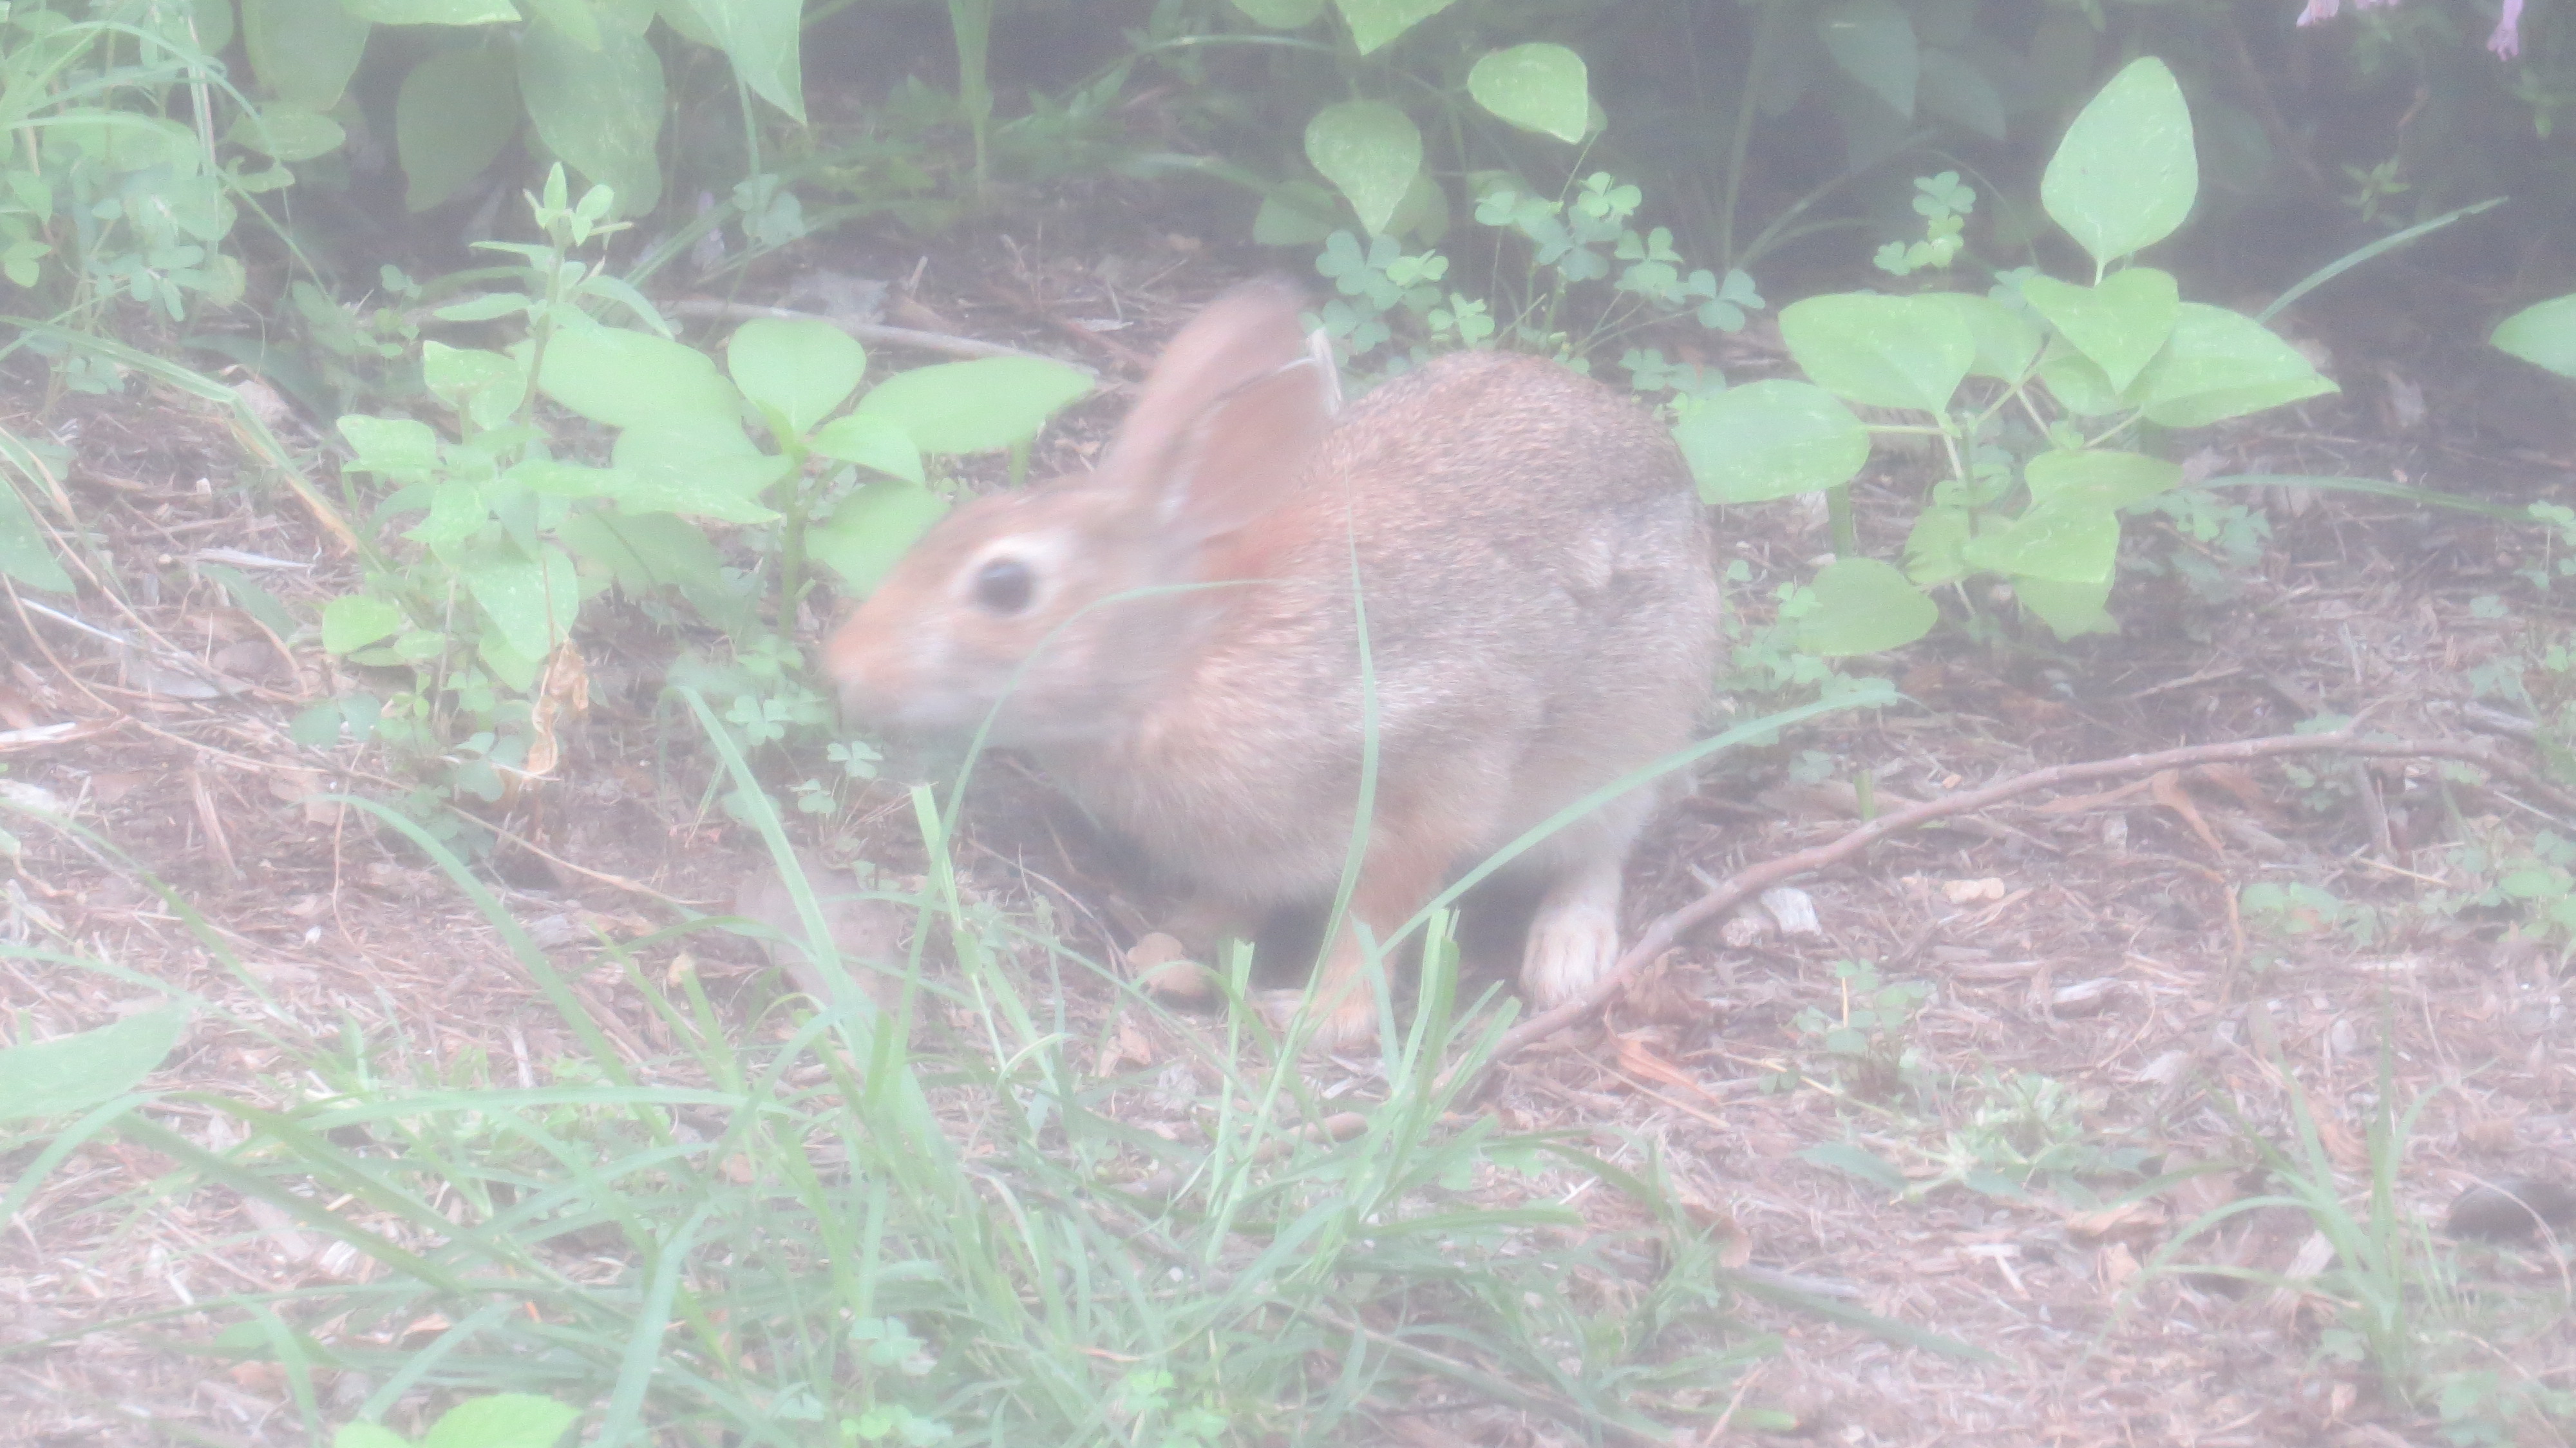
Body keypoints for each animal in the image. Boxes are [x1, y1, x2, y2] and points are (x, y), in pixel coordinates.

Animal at [825, 279, 1719, 1048]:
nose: (844, 667)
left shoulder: (1427, 783)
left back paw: (1566, 956)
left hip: (1624, 737)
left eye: (1005, 586)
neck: (1187, 661)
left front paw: (1320, 1016)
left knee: (1604, 843)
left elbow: (1376, 917)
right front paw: (1184, 933)